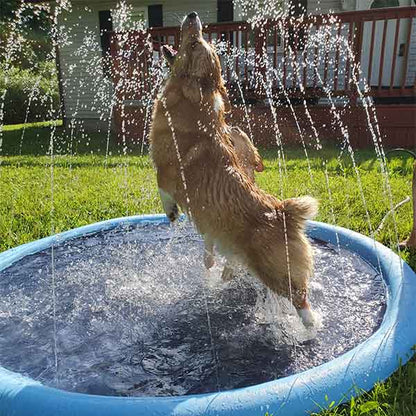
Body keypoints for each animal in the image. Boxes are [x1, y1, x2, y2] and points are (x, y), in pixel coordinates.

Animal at [150, 11, 318, 326]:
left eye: (194, 45)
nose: (193, 15)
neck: (193, 105)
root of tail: (284, 214)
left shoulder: (166, 173)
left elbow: (163, 191)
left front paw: (171, 213)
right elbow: (208, 246)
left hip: (275, 273)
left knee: (301, 301)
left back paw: (309, 328)